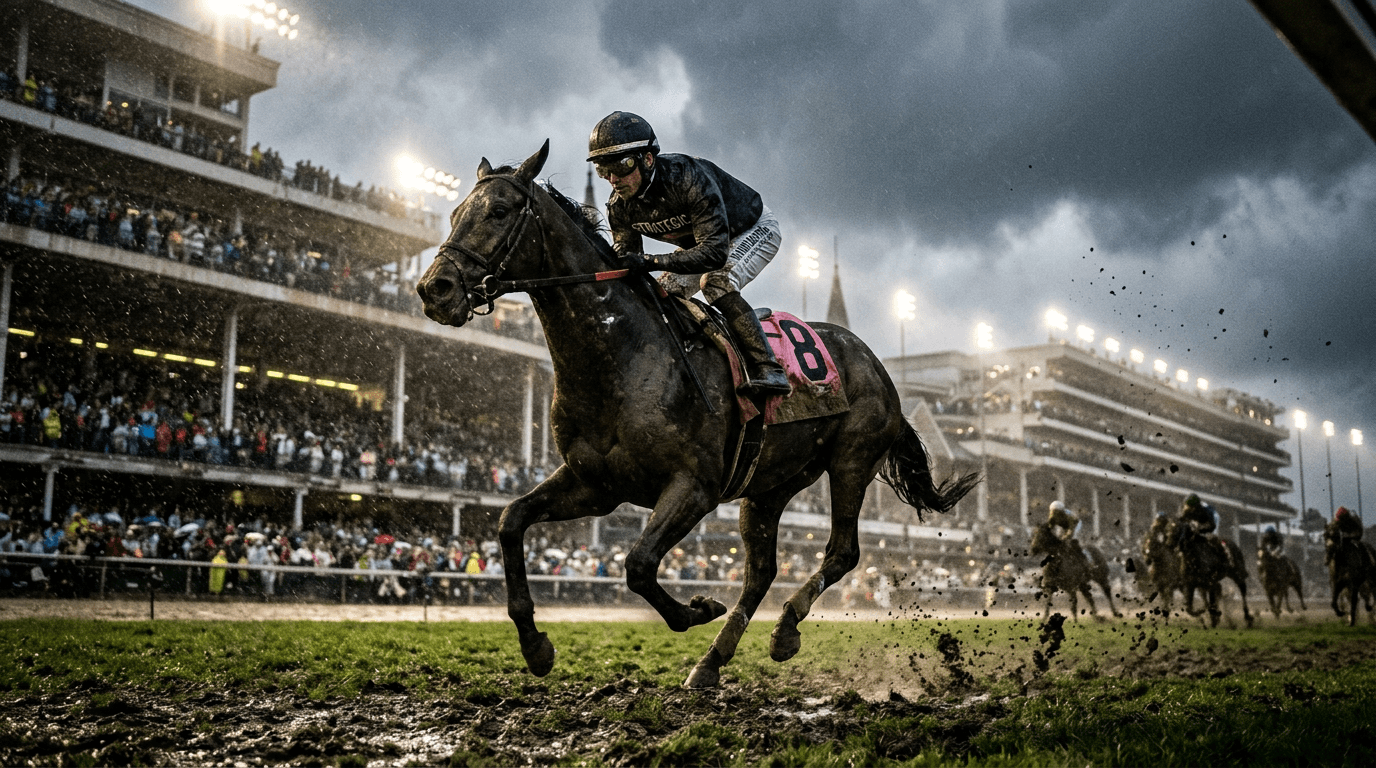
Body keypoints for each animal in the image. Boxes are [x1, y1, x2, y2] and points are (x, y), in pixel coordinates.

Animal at [415, 142, 979, 688]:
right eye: (455, 213)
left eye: (500, 210)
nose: (434, 289)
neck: (626, 356)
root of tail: (877, 365)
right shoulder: (595, 484)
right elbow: (511, 521)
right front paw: (535, 646)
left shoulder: (695, 486)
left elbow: (638, 564)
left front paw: (697, 608)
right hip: (770, 483)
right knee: (762, 571)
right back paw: (714, 660)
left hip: (851, 461)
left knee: (841, 552)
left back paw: (783, 629)